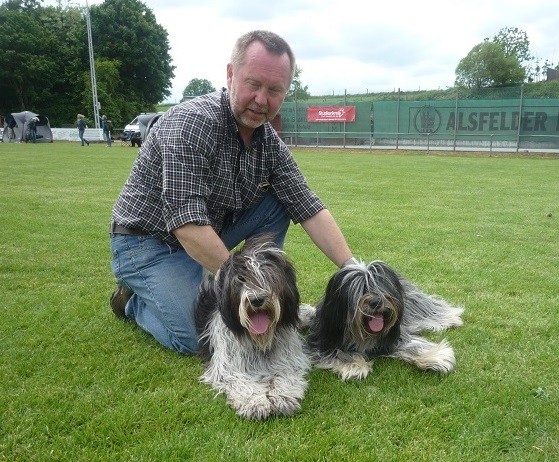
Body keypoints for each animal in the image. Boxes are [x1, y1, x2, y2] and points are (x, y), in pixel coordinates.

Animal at [195, 236, 310, 420]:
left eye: (269, 276)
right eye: (241, 279)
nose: (256, 299)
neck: (260, 340)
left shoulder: (287, 359)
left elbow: (285, 375)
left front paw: (282, 397)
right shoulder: (228, 365)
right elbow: (239, 380)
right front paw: (254, 402)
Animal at [306, 262, 464, 380]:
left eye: (380, 287)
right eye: (360, 289)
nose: (376, 302)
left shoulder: (396, 334)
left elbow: (413, 345)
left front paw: (436, 357)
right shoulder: (323, 340)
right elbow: (337, 352)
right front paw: (354, 364)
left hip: (416, 303)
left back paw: (451, 318)